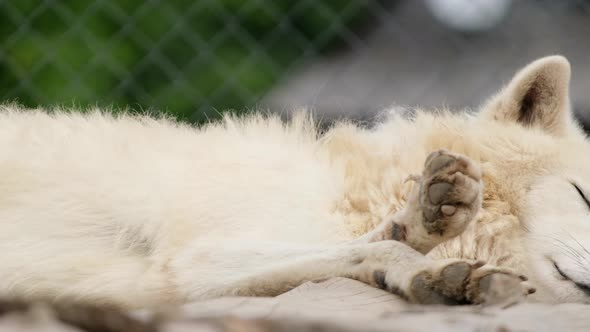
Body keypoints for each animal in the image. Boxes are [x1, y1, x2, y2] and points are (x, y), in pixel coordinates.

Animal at [1, 55, 590, 308]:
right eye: (584, 194)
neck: (360, 192)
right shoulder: (194, 258)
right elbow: (373, 249)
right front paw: (427, 252)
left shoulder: (179, 279)